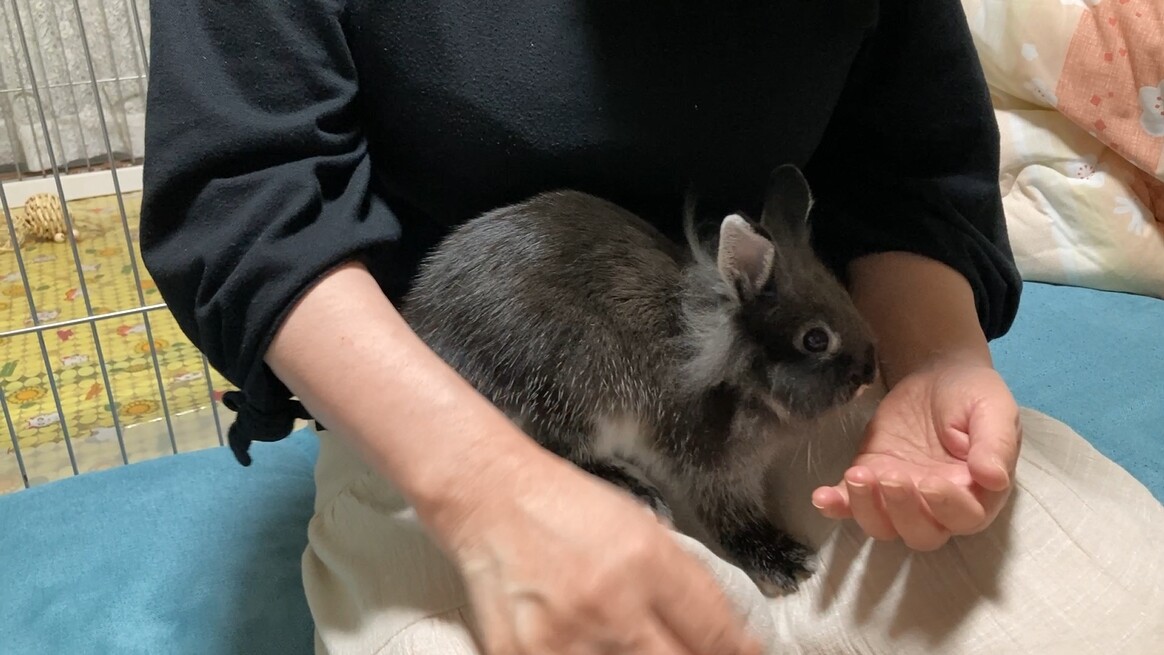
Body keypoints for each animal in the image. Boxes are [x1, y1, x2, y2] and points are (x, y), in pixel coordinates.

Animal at [400, 165, 879, 595]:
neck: (733, 363)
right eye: (815, 339)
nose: (870, 372)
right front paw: (784, 561)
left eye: (845, 297)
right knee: (559, 450)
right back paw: (636, 490)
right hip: (574, 382)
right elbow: (729, 514)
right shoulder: (710, 464)